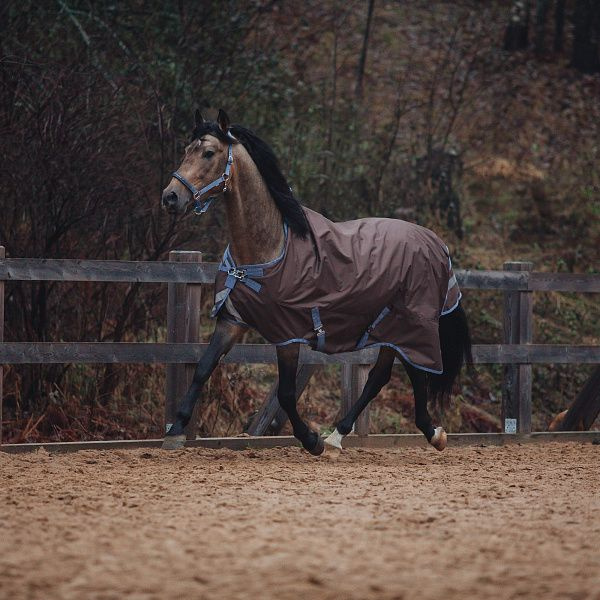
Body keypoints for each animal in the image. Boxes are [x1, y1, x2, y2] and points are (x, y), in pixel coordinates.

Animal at [162, 109, 472, 454]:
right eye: (186, 150)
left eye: (209, 152)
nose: (170, 197)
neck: (267, 249)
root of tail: (436, 242)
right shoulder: (232, 321)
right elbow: (202, 369)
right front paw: (175, 430)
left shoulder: (288, 336)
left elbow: (285, 393)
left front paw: (311, 441)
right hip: (389, 327)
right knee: (382, 376)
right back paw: (341, 436)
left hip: (410, 324)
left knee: (414, 373)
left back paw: (429, 434)